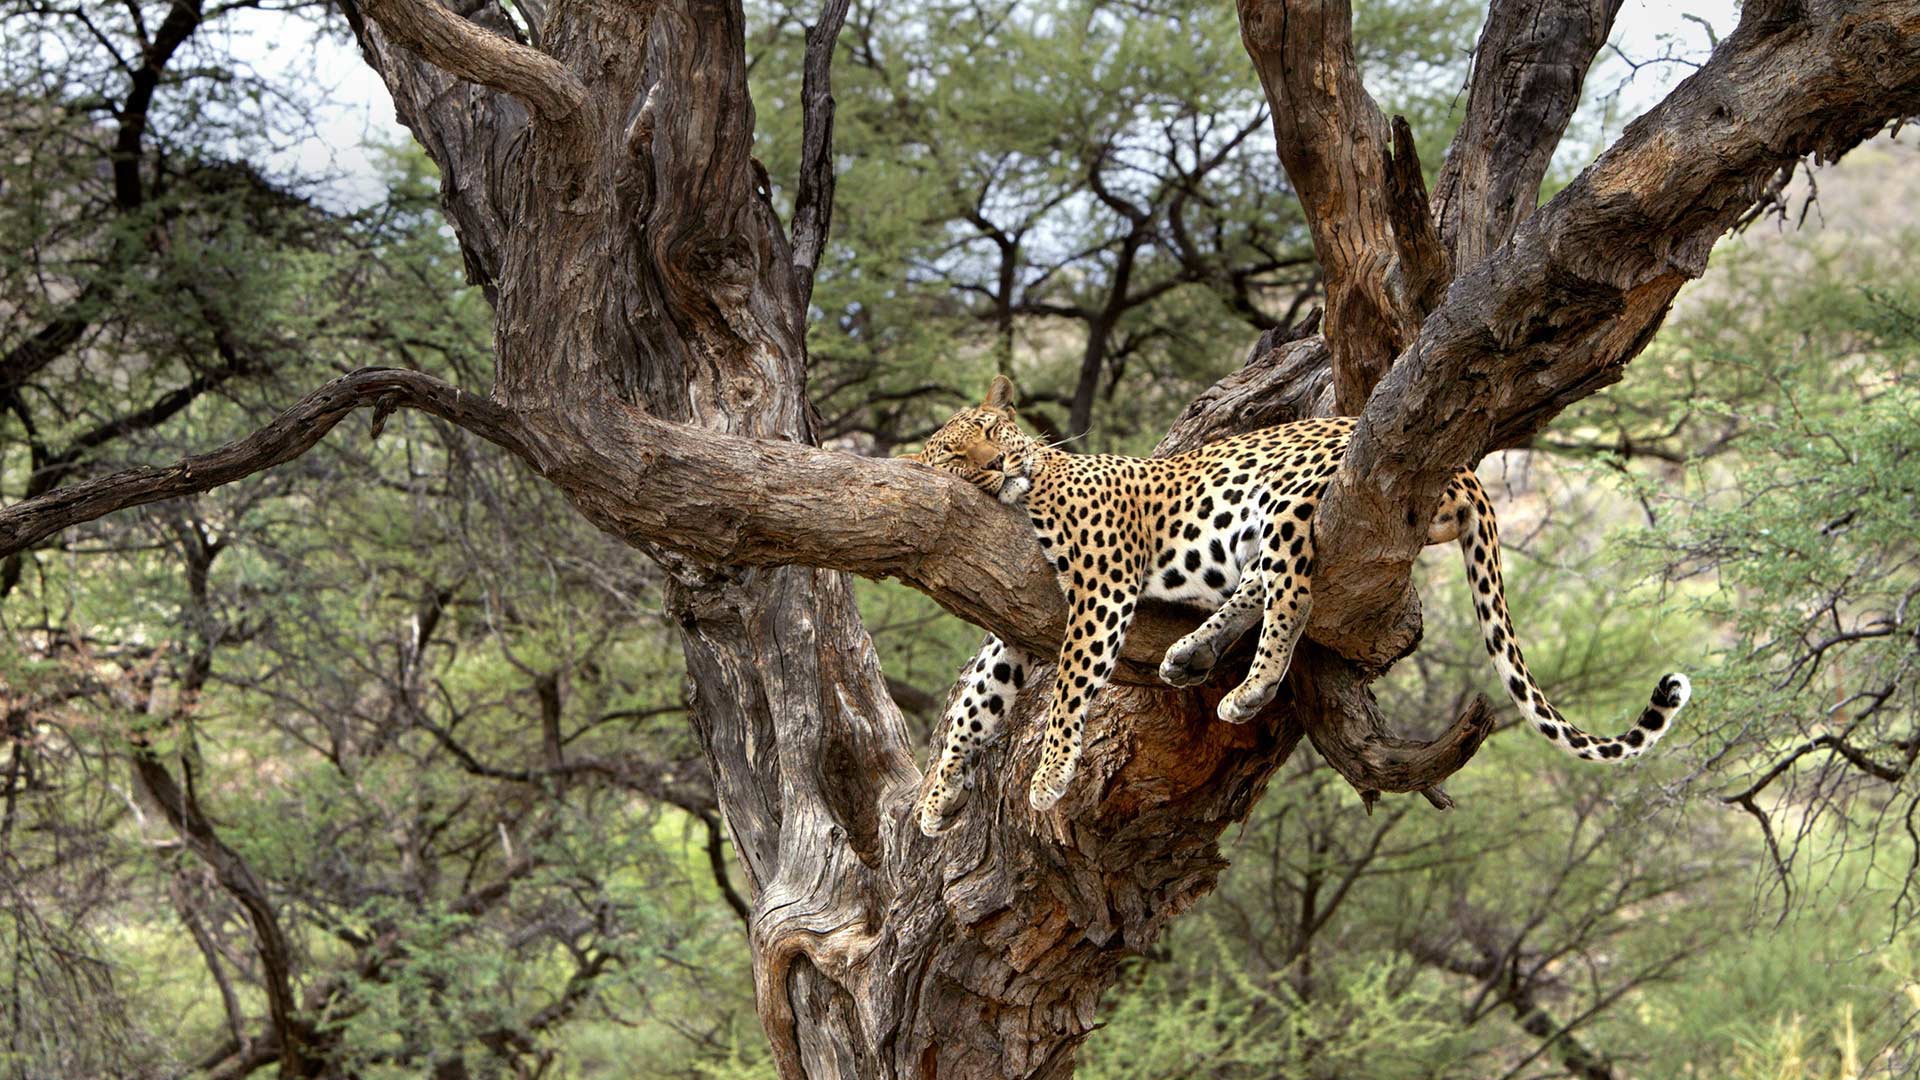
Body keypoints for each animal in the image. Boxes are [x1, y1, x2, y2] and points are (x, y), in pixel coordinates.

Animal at [906, 374, 1689, 837]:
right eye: (955, 455)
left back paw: (1249, 689)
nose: (997, 465)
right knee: (1260, 585)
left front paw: (1048, 778)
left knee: (1294, 594)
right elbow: (975, 702)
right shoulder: (1016, 623)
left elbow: (1070, 689)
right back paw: (1192, 654)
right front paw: (936, 796)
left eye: (994, 434)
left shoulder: (1102, 587)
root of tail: (1466, 469)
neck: (1032, 488)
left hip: (1286, 500)